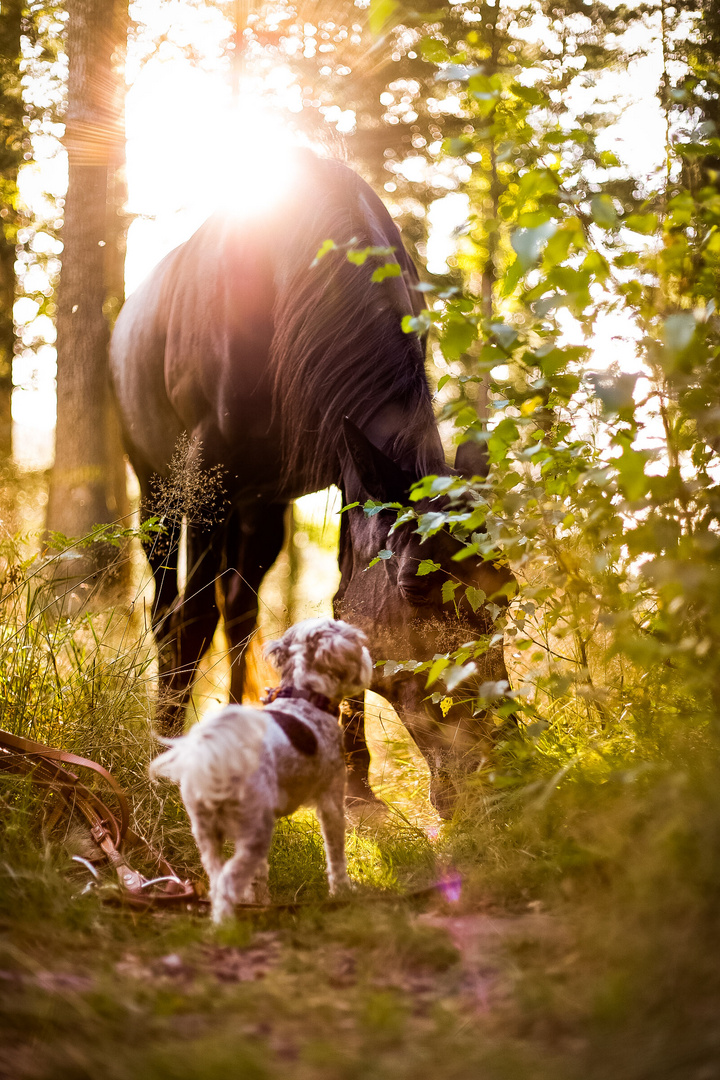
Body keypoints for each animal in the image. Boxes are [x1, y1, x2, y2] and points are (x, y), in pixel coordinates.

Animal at [110, 150, 511, 812]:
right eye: (417, 587)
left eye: (509, 591)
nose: (496, 768)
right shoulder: (208, 475)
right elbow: (191, 622)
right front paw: (163, 762)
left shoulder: (348, 474)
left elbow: (340, 609)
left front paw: (356, 783)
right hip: (160, 490)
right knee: (172, 611)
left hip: (260, 507)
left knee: (239, 609)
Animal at [146, 617, 371, 920]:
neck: (303, 698)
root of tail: (218, 762)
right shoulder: (332, 799)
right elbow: (336, 856)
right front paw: (341, 892)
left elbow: (260, 873)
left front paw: (260, 901)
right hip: (255, 829)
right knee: (228, 881)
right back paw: (228, 925)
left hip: (207, 832)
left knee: (218, 877)